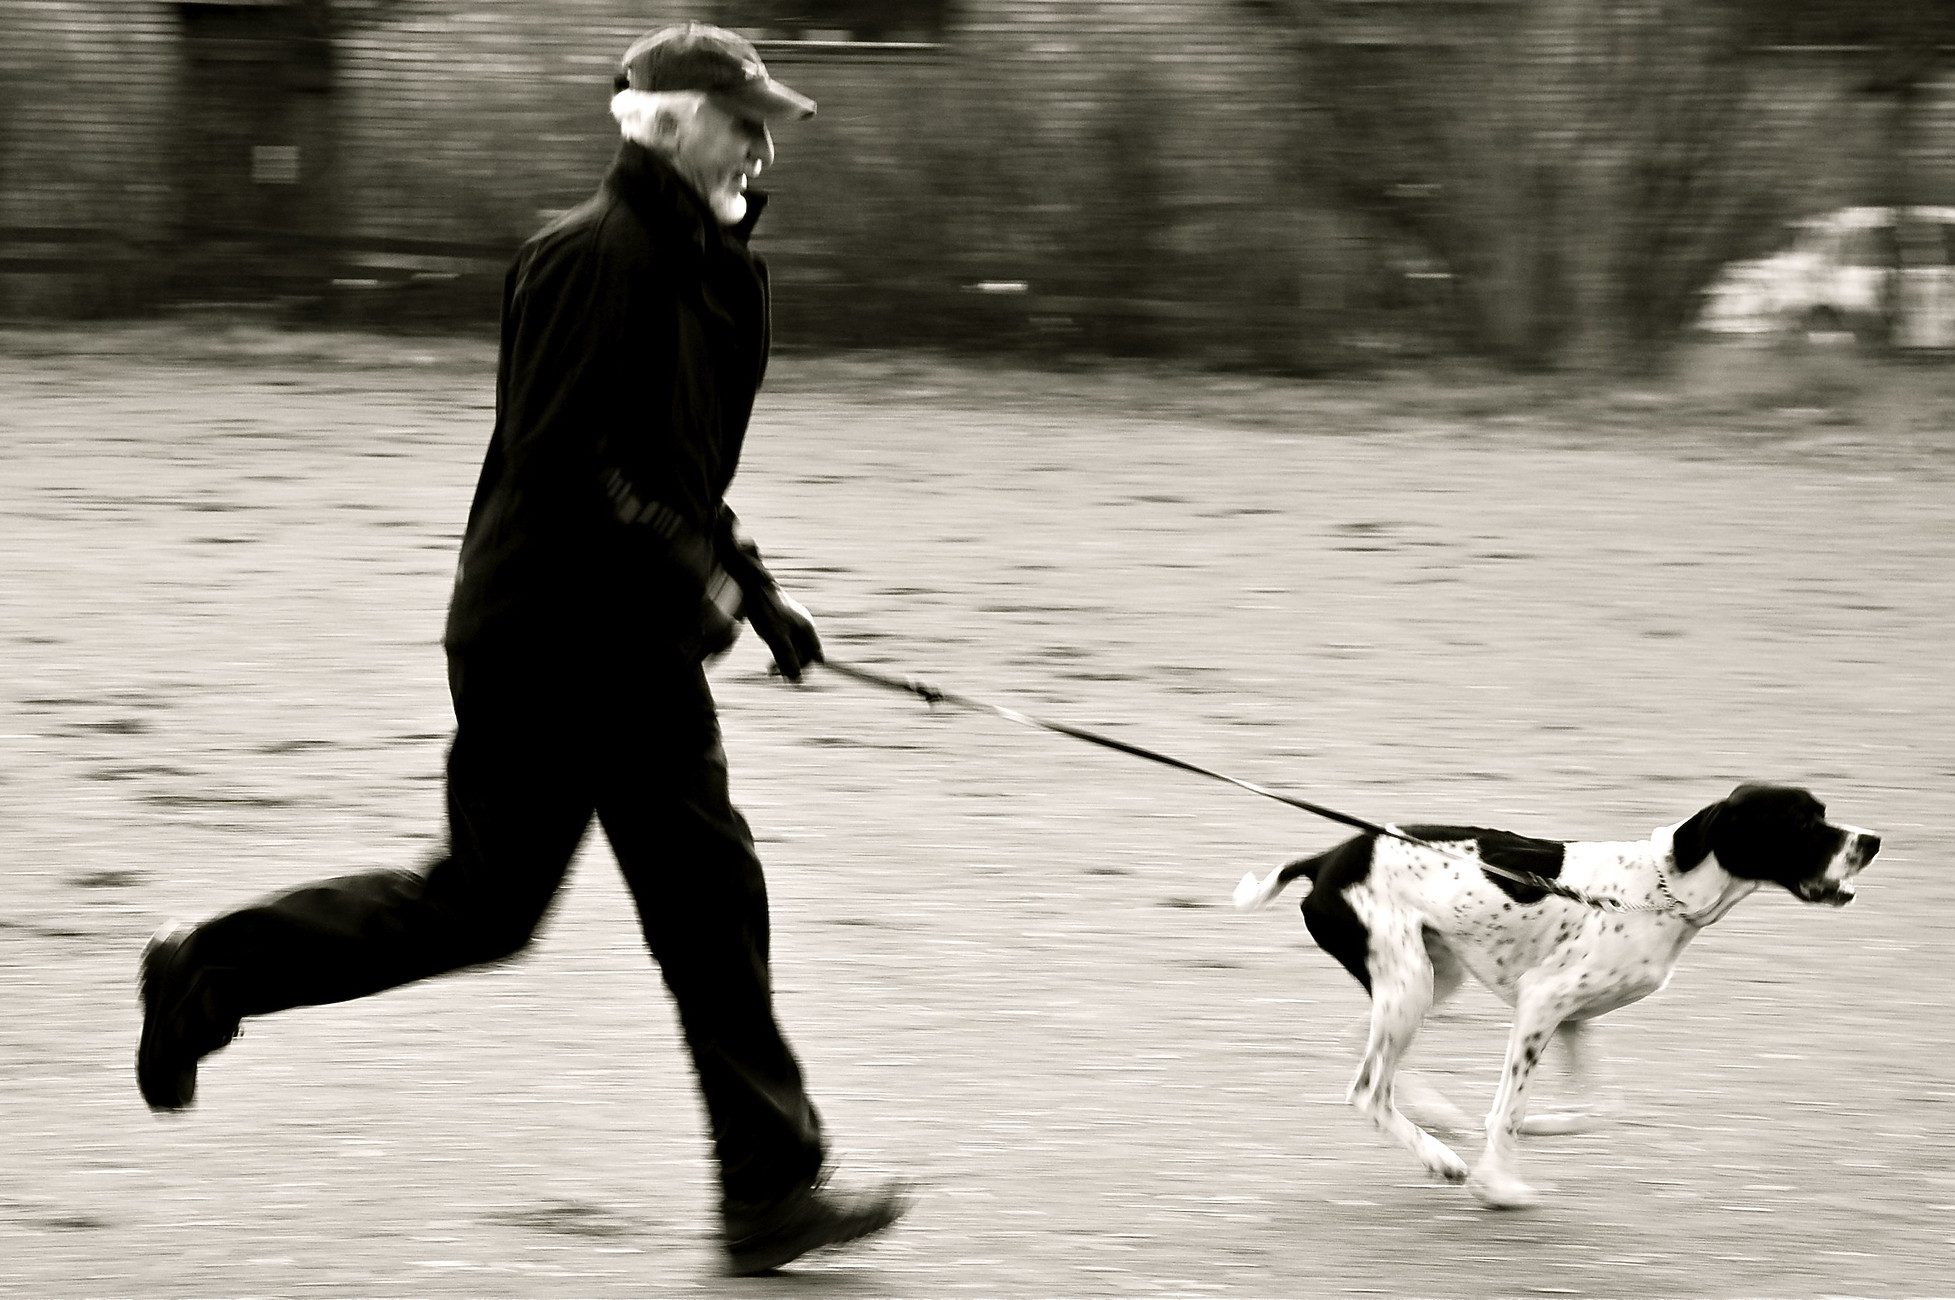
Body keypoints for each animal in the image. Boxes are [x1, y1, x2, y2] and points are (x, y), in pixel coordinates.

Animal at [1235, 781, 1876, 1204]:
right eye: (1802, 822)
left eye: (1823, 812)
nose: (1872, 840)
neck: (1662, 893)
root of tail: (1326, 858)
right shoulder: (1540, 1003)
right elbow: (1507, 1110)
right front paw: (1498, 1185)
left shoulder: (1572, 1020)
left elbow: (1602, 1108)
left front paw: (1545, 1126)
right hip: (1412, 985)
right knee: (1367, 1089)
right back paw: (1442, 1158)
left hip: (1427, 979)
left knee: (1365, 1053)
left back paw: (1439, 1117)